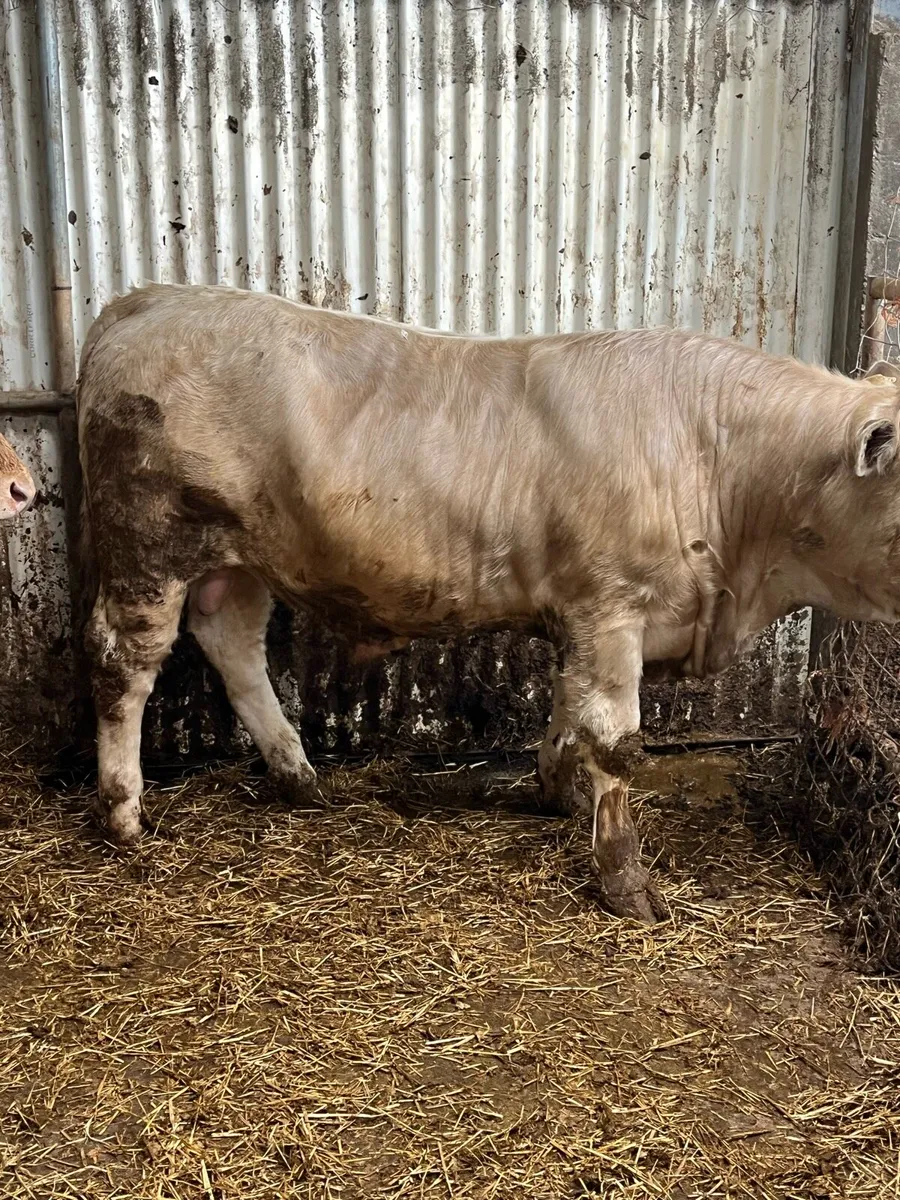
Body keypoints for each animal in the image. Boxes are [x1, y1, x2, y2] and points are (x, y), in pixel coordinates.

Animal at [75, 283, 900, 921]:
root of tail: (146, 300)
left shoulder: (582, 614)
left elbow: (569, 707)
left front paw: (558, 791)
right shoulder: (612, 606)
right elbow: (616, 741)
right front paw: (625, 880)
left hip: (242, 559)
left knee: (234, 647)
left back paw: (298, 779)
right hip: (146, 546)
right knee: (124, 664)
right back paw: (123, 814)